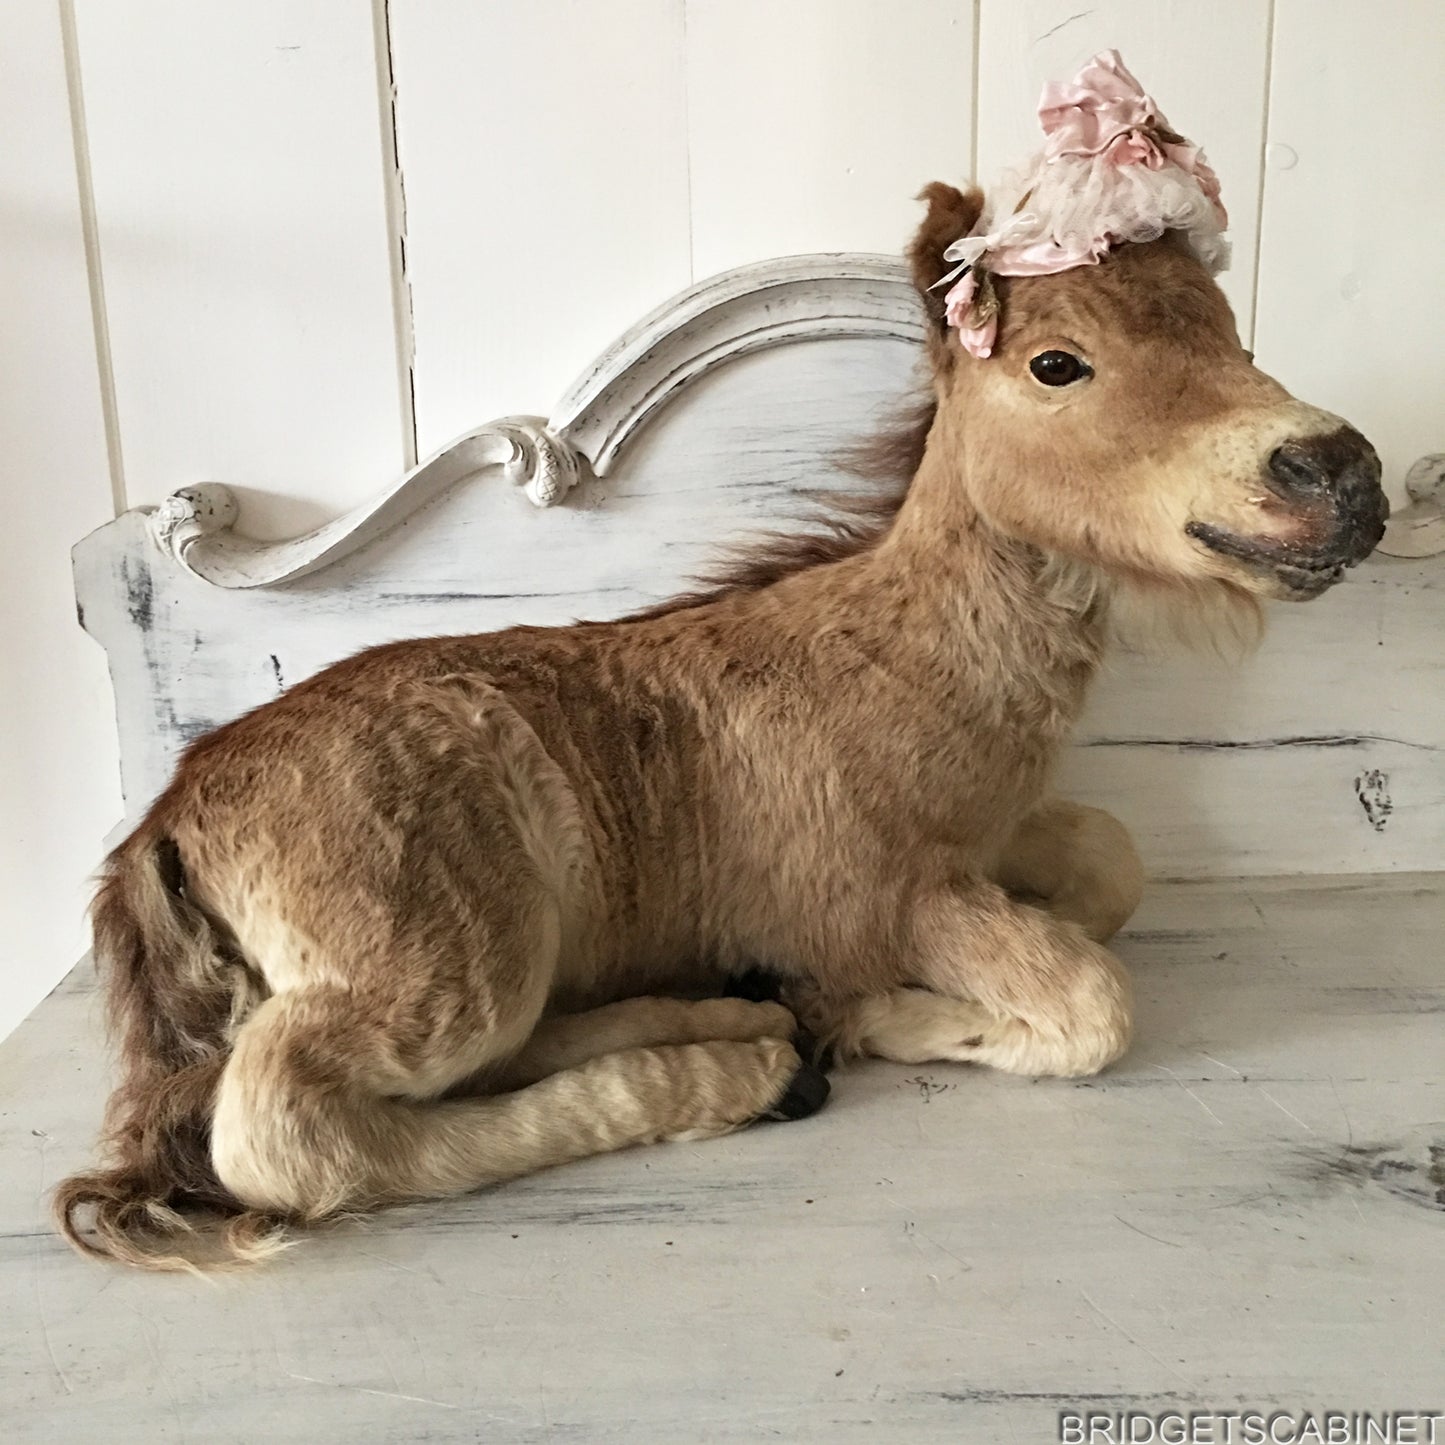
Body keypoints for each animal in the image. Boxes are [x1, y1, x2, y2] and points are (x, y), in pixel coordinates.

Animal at [55, 179, 1387, 1271]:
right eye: (1057, 364)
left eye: (1229, 336)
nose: (1338, 472)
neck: (901, 662)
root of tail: (169, 822)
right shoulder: (896, 895)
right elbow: (1092, 1003)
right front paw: (877, 1015)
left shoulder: (989, 836)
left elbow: (1112, 859)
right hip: (441, 969)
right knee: (286, 1131)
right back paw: (748, 1071)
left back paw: (742, 1018)